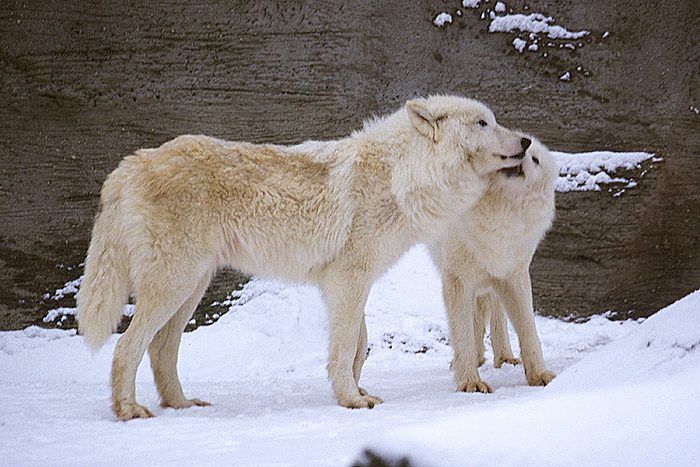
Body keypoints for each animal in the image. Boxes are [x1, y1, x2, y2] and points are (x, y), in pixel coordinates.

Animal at [76, 95, 532, 420]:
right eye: (483, 123)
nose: (526, 141)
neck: (400, 175)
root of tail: (128, 165)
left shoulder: (350, 282)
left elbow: (358, 345)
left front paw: (355, 392)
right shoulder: (349, 280)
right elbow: (347, 346)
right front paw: (352, 400)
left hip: (191, 286)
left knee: (161, 349)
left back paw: (182, 406)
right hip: (175, 284)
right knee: (127, 346)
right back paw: (129, 410)